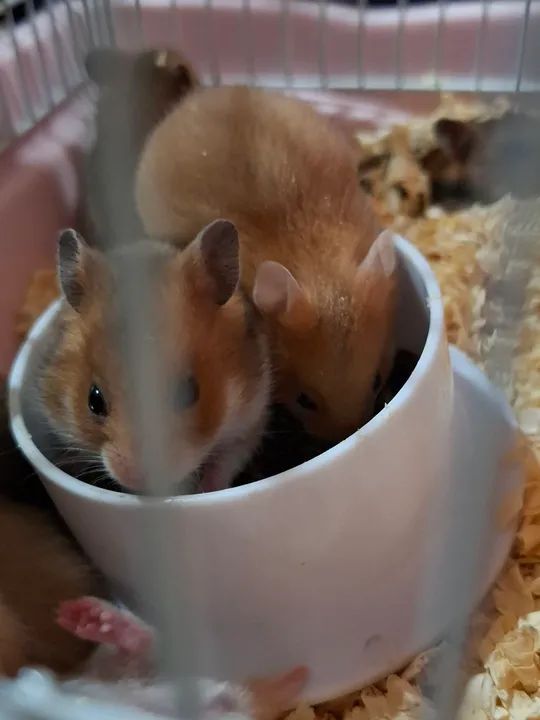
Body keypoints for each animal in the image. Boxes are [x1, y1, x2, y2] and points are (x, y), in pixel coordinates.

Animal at [39, 219, 270, 494]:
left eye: (188, 393)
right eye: (94, 400)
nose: (139, 480)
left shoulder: (250, 419)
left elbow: (225, 461)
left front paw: (205, 489)